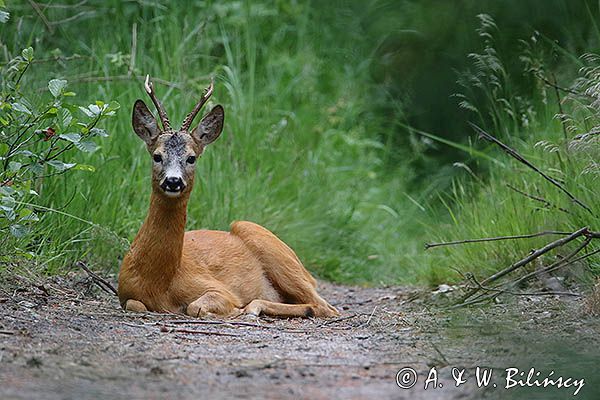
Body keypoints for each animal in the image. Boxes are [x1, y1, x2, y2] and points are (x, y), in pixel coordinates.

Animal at [117, 76, 338, 318]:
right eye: (157, 156)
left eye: (191, 158)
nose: (173, 181)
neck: (159, 282)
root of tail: (310, 274)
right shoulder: (125, 294)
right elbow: (135, 304)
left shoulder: (219, 289)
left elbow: (196, 306)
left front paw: (234, 310)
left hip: (264, 242)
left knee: (326, 307)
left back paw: (254, 307)